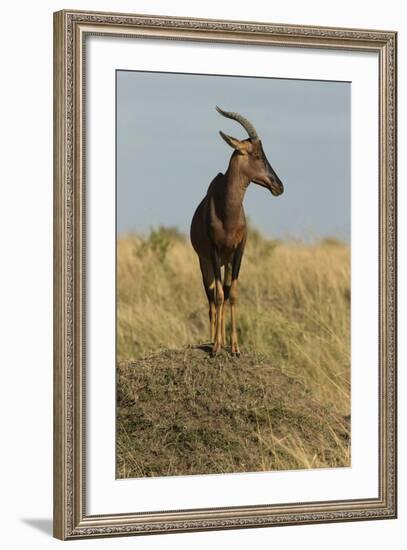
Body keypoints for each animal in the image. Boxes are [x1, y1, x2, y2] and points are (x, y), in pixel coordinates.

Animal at [190, 107, 284, 358]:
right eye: (257, 155)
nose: (279, 186)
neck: (226, 209)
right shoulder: (214, 252)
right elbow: (219, 296)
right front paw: (216, 347)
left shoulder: (238, 251)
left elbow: (232, 294)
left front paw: (235, 347)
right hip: (206, 263)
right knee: (211, 298)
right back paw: (213, 341)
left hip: (227, 261)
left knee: (223, 292)